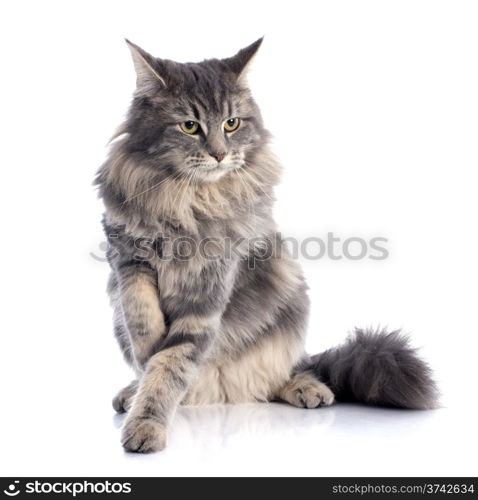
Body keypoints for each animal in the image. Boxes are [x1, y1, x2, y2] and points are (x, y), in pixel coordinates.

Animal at [95, 39, 438, 454]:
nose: (219, 153)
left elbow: (171, 362)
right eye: (190, 126)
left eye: (232, 123)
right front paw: (146, 352)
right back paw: (132, 391)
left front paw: (146, 426)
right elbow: (141, 316)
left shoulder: (210, 287)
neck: (189, 200)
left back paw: (308, 388)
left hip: (292, 312)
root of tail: (221, 393)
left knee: (283, 375)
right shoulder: (127, 260)